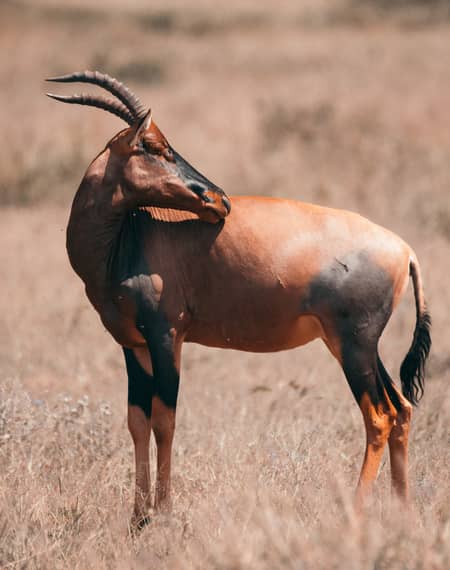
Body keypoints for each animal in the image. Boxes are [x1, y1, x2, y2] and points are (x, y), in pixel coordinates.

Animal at [47, 71, 430, 528]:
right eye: (154, 146)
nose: (219, 200)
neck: (132, 235)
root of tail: (404, 250)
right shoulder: (133, 345)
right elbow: (137, 421)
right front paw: (138, 519)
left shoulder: (166, 336)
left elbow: (165, 420)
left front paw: (164, 514)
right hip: (359, 347)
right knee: (402, 409)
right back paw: (403, 512)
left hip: (354, 346)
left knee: (379, 416)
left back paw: (354, 512)